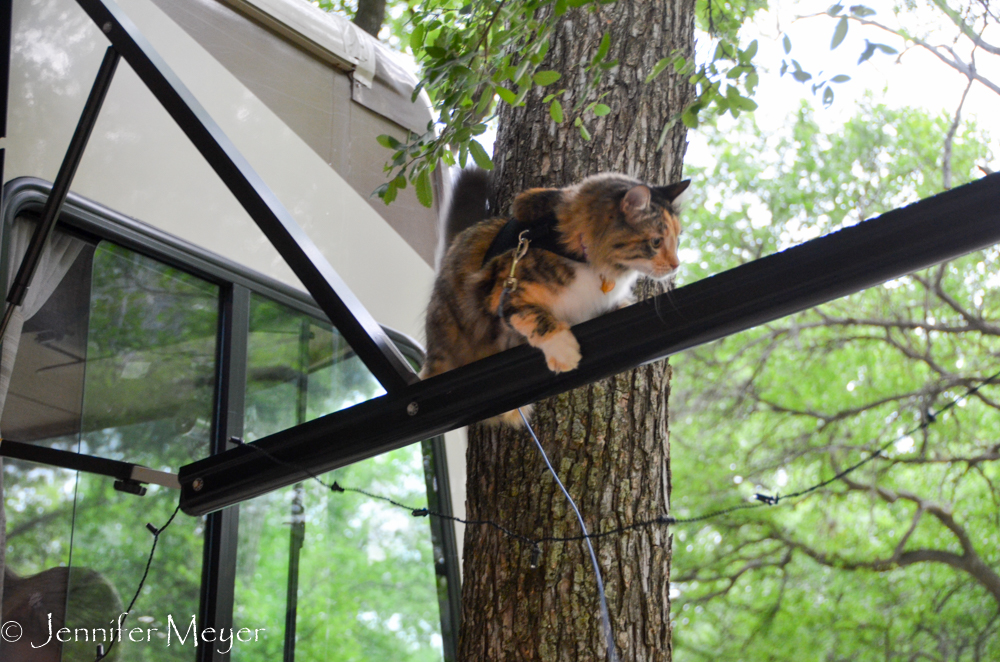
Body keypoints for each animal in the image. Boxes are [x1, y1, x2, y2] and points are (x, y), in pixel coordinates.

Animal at [420, 169, 688, 422]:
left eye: (677, 239)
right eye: (656, 242)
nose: (676, 265)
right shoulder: (503, 293)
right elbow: (536, 319)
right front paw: (564, 352)